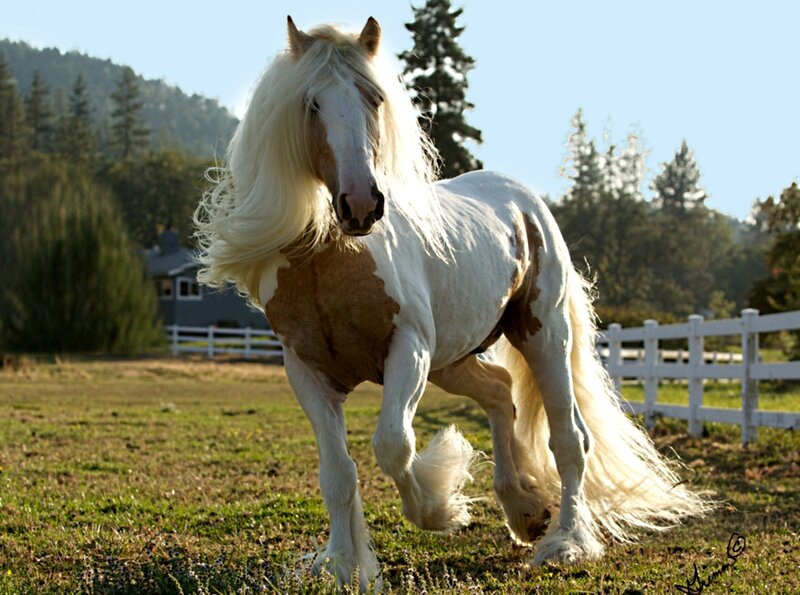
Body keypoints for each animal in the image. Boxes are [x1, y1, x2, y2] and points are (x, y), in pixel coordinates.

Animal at [194, 16, 709, 591]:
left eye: (374, 97)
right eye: (311, 104)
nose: (361, 204)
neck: (331, 262)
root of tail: (524, 199)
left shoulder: (409, 350)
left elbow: (393, 446)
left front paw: (441, 507)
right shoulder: (306, 371)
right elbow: (338, 473)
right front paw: (344, 566)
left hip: (542, 334)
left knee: (569, 439)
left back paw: (565, 542)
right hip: (454, 358)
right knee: (501, 393)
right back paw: (525, 510)